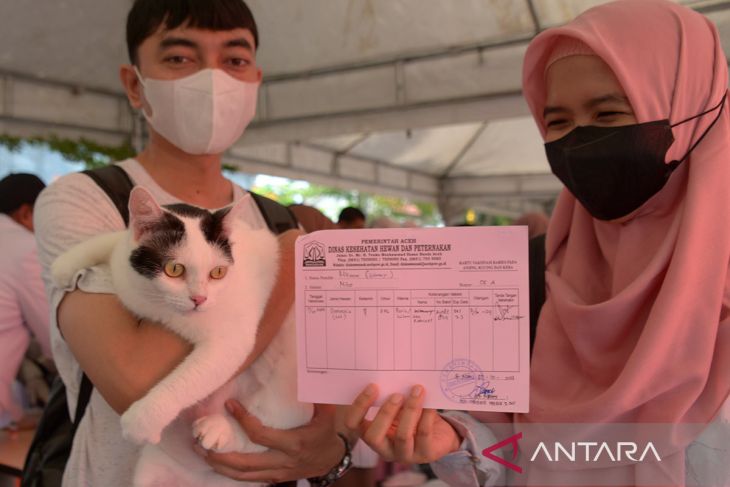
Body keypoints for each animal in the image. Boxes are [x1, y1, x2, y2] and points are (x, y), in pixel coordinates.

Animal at [50, 185, 312, 486]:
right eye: (174, 269)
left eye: (218, 272)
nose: (200, 299)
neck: (154, 302)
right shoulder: (124, 261)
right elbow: (112, 240)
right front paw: (64, 265)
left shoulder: (231, 341)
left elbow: (186, 381)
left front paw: (140, 423)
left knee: (267, 429)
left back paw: (220, 429)